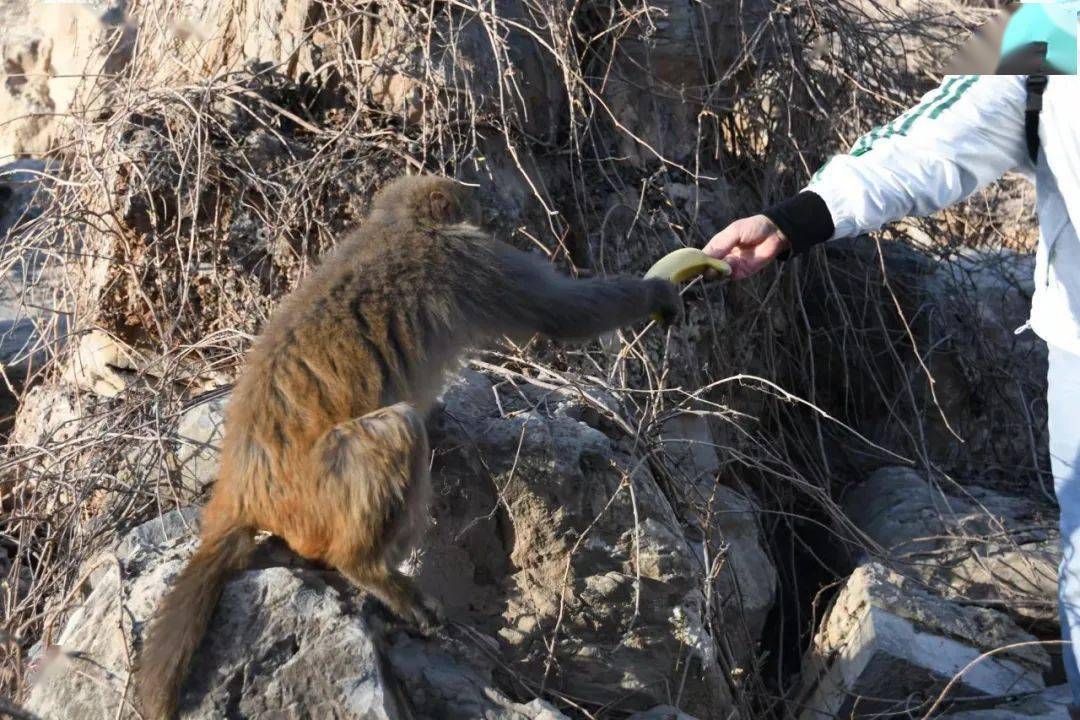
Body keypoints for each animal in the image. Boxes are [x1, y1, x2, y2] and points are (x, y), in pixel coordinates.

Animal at [130, 175, 678, 720]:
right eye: (472, 210)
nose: (485, 214)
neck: (400, 225)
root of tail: (241, 491)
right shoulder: (470, 258)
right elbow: (561, 311)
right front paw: (656, 292)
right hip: (316, 492)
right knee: (397, 431)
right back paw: (367, 568)